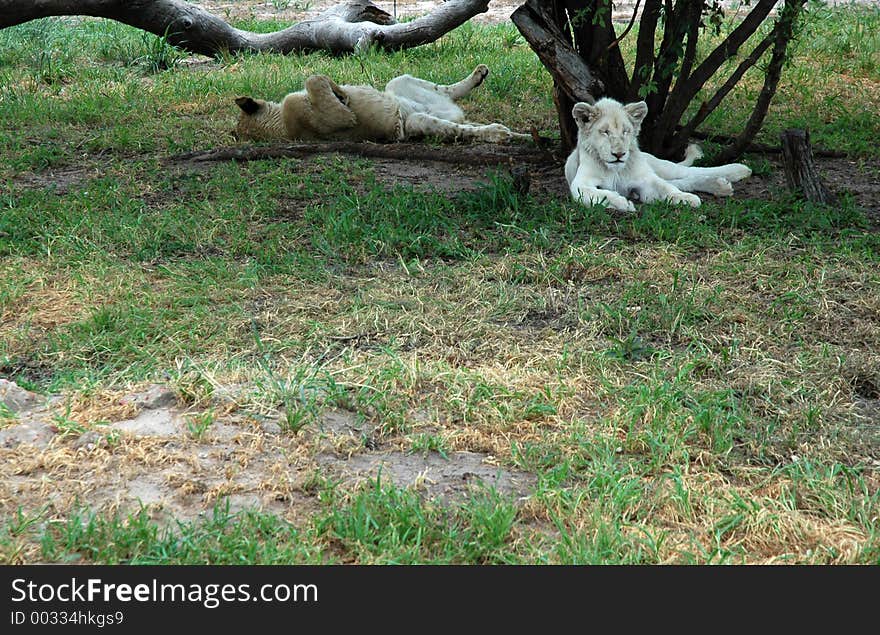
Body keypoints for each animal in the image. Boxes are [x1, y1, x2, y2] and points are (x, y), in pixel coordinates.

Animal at [232, 64, 528, 144]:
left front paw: (341, 90)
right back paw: (497, 132)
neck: (278, 123)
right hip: (416, 122)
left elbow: (315, 78)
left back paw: (479, 74)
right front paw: (340, 93)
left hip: (399, 82)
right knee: (461, 129)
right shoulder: (334, 120)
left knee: (446, 90)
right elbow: (313, 79)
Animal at [568, 97, 752, 211]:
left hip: (662, 167)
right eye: (605, 132)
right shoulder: (580, 183)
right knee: (684, 180)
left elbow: (665, 188)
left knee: (690, 172)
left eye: (626, 131)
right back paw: (720, 186)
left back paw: (739, 170)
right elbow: (598, 193)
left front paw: (684, 198)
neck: (615, 170)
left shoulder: (645, 179)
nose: (619, 154)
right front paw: (622, 203)